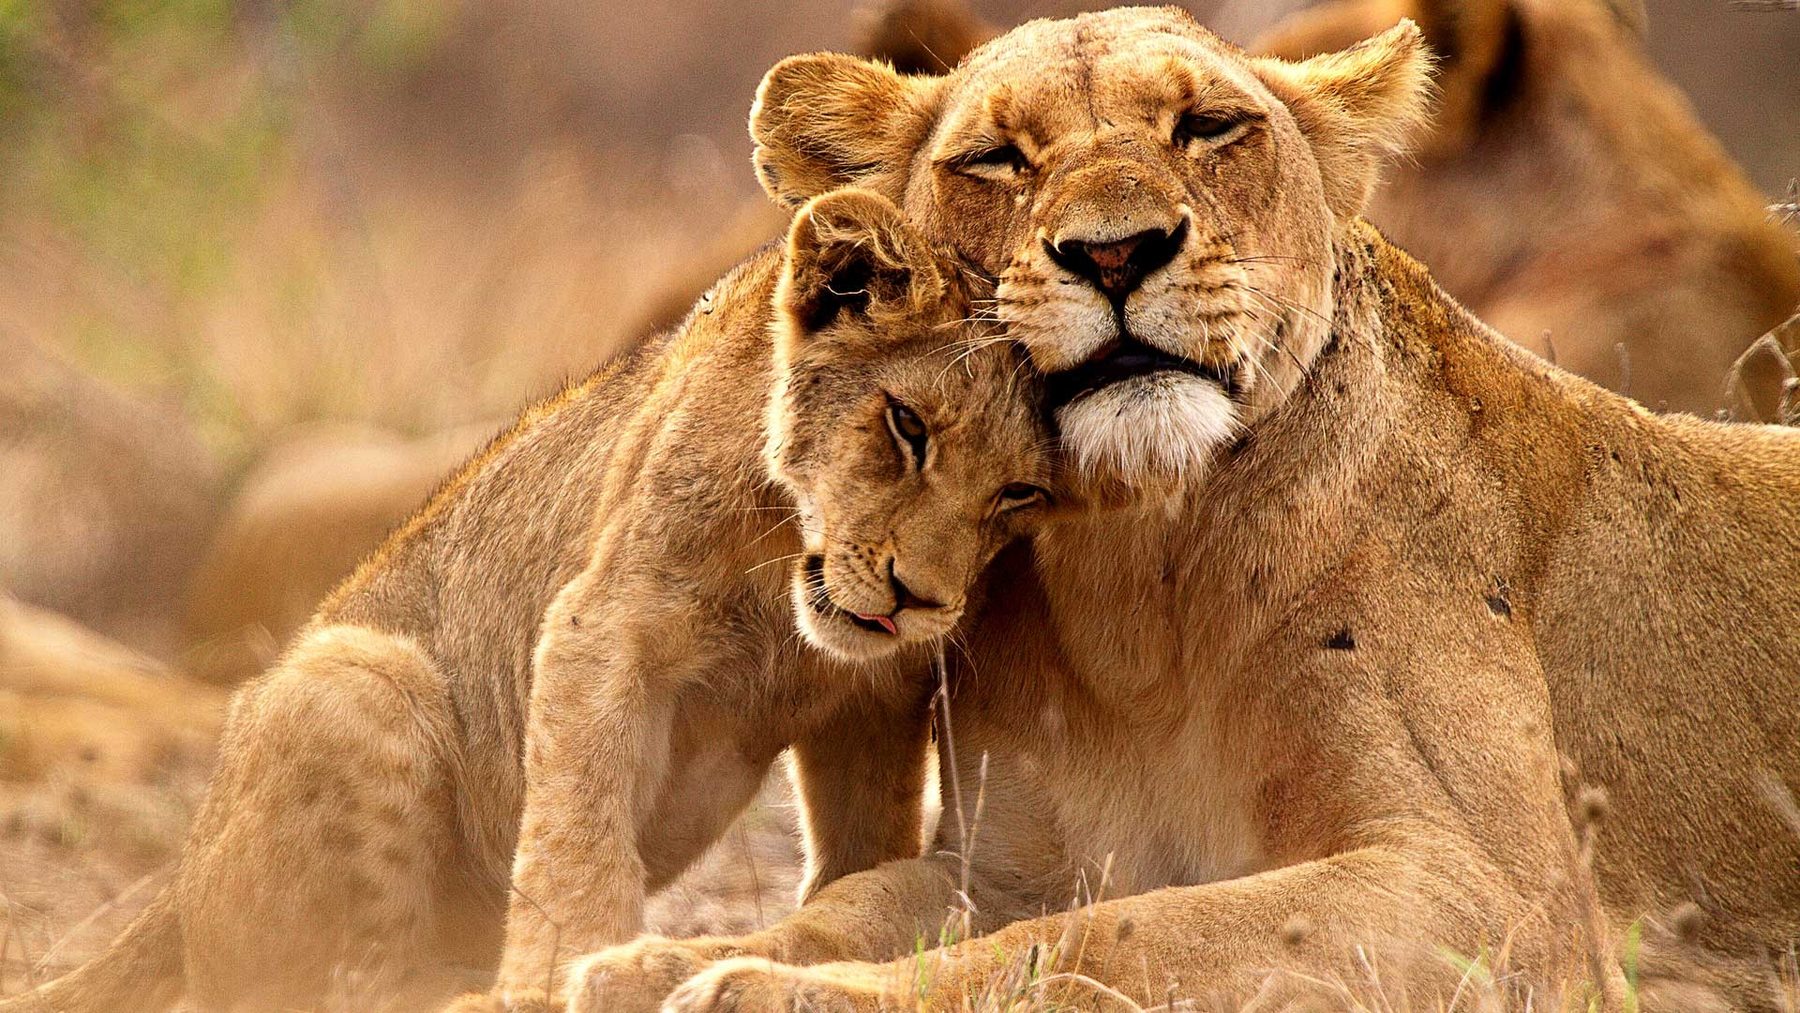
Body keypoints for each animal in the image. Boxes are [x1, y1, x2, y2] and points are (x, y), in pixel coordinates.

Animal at [0, 189, 1054, 1013]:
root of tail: (176, 881)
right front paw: (560, 975)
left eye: (1020, 494)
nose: (918, 599)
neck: (785, 577)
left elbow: (863, 846)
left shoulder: (873, 696)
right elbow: (575, 833)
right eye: (907, 424)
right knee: (330, 983)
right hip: (357, 673)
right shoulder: (602, 624)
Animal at [552, 10, 1800, 1012]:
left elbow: (1114, 935)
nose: (1116, 252)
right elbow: (852, 901)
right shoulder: (998, 864)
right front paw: (650, 963)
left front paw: (764, 989)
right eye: (997, 157)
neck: (1136, 582)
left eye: (1207, 127)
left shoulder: (1500, 898)